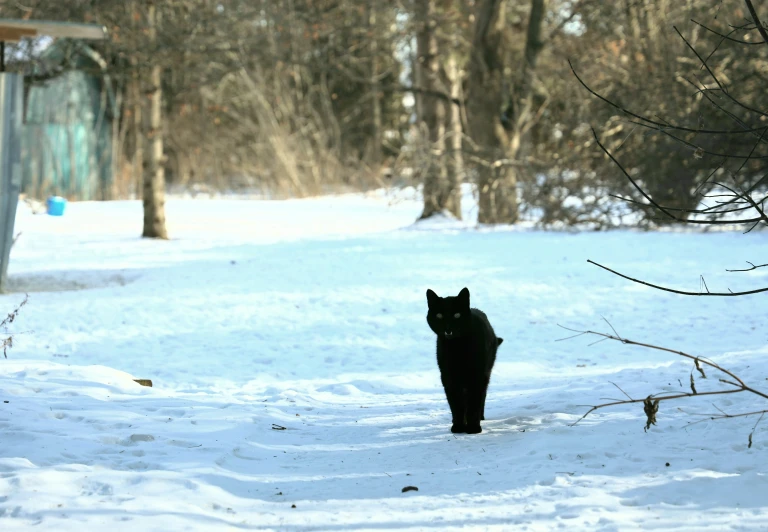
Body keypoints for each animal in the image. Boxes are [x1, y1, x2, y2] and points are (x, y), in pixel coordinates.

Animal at [426, 288, 504, 434]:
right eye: (439, 315)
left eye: (457, 315)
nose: (448, 328)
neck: (457, 348)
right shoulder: (448, 377)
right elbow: (456, 404)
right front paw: (458, 426)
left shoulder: (478, 375)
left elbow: (474, 402)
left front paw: (473, 427)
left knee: (481, 396)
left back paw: (480, 417)